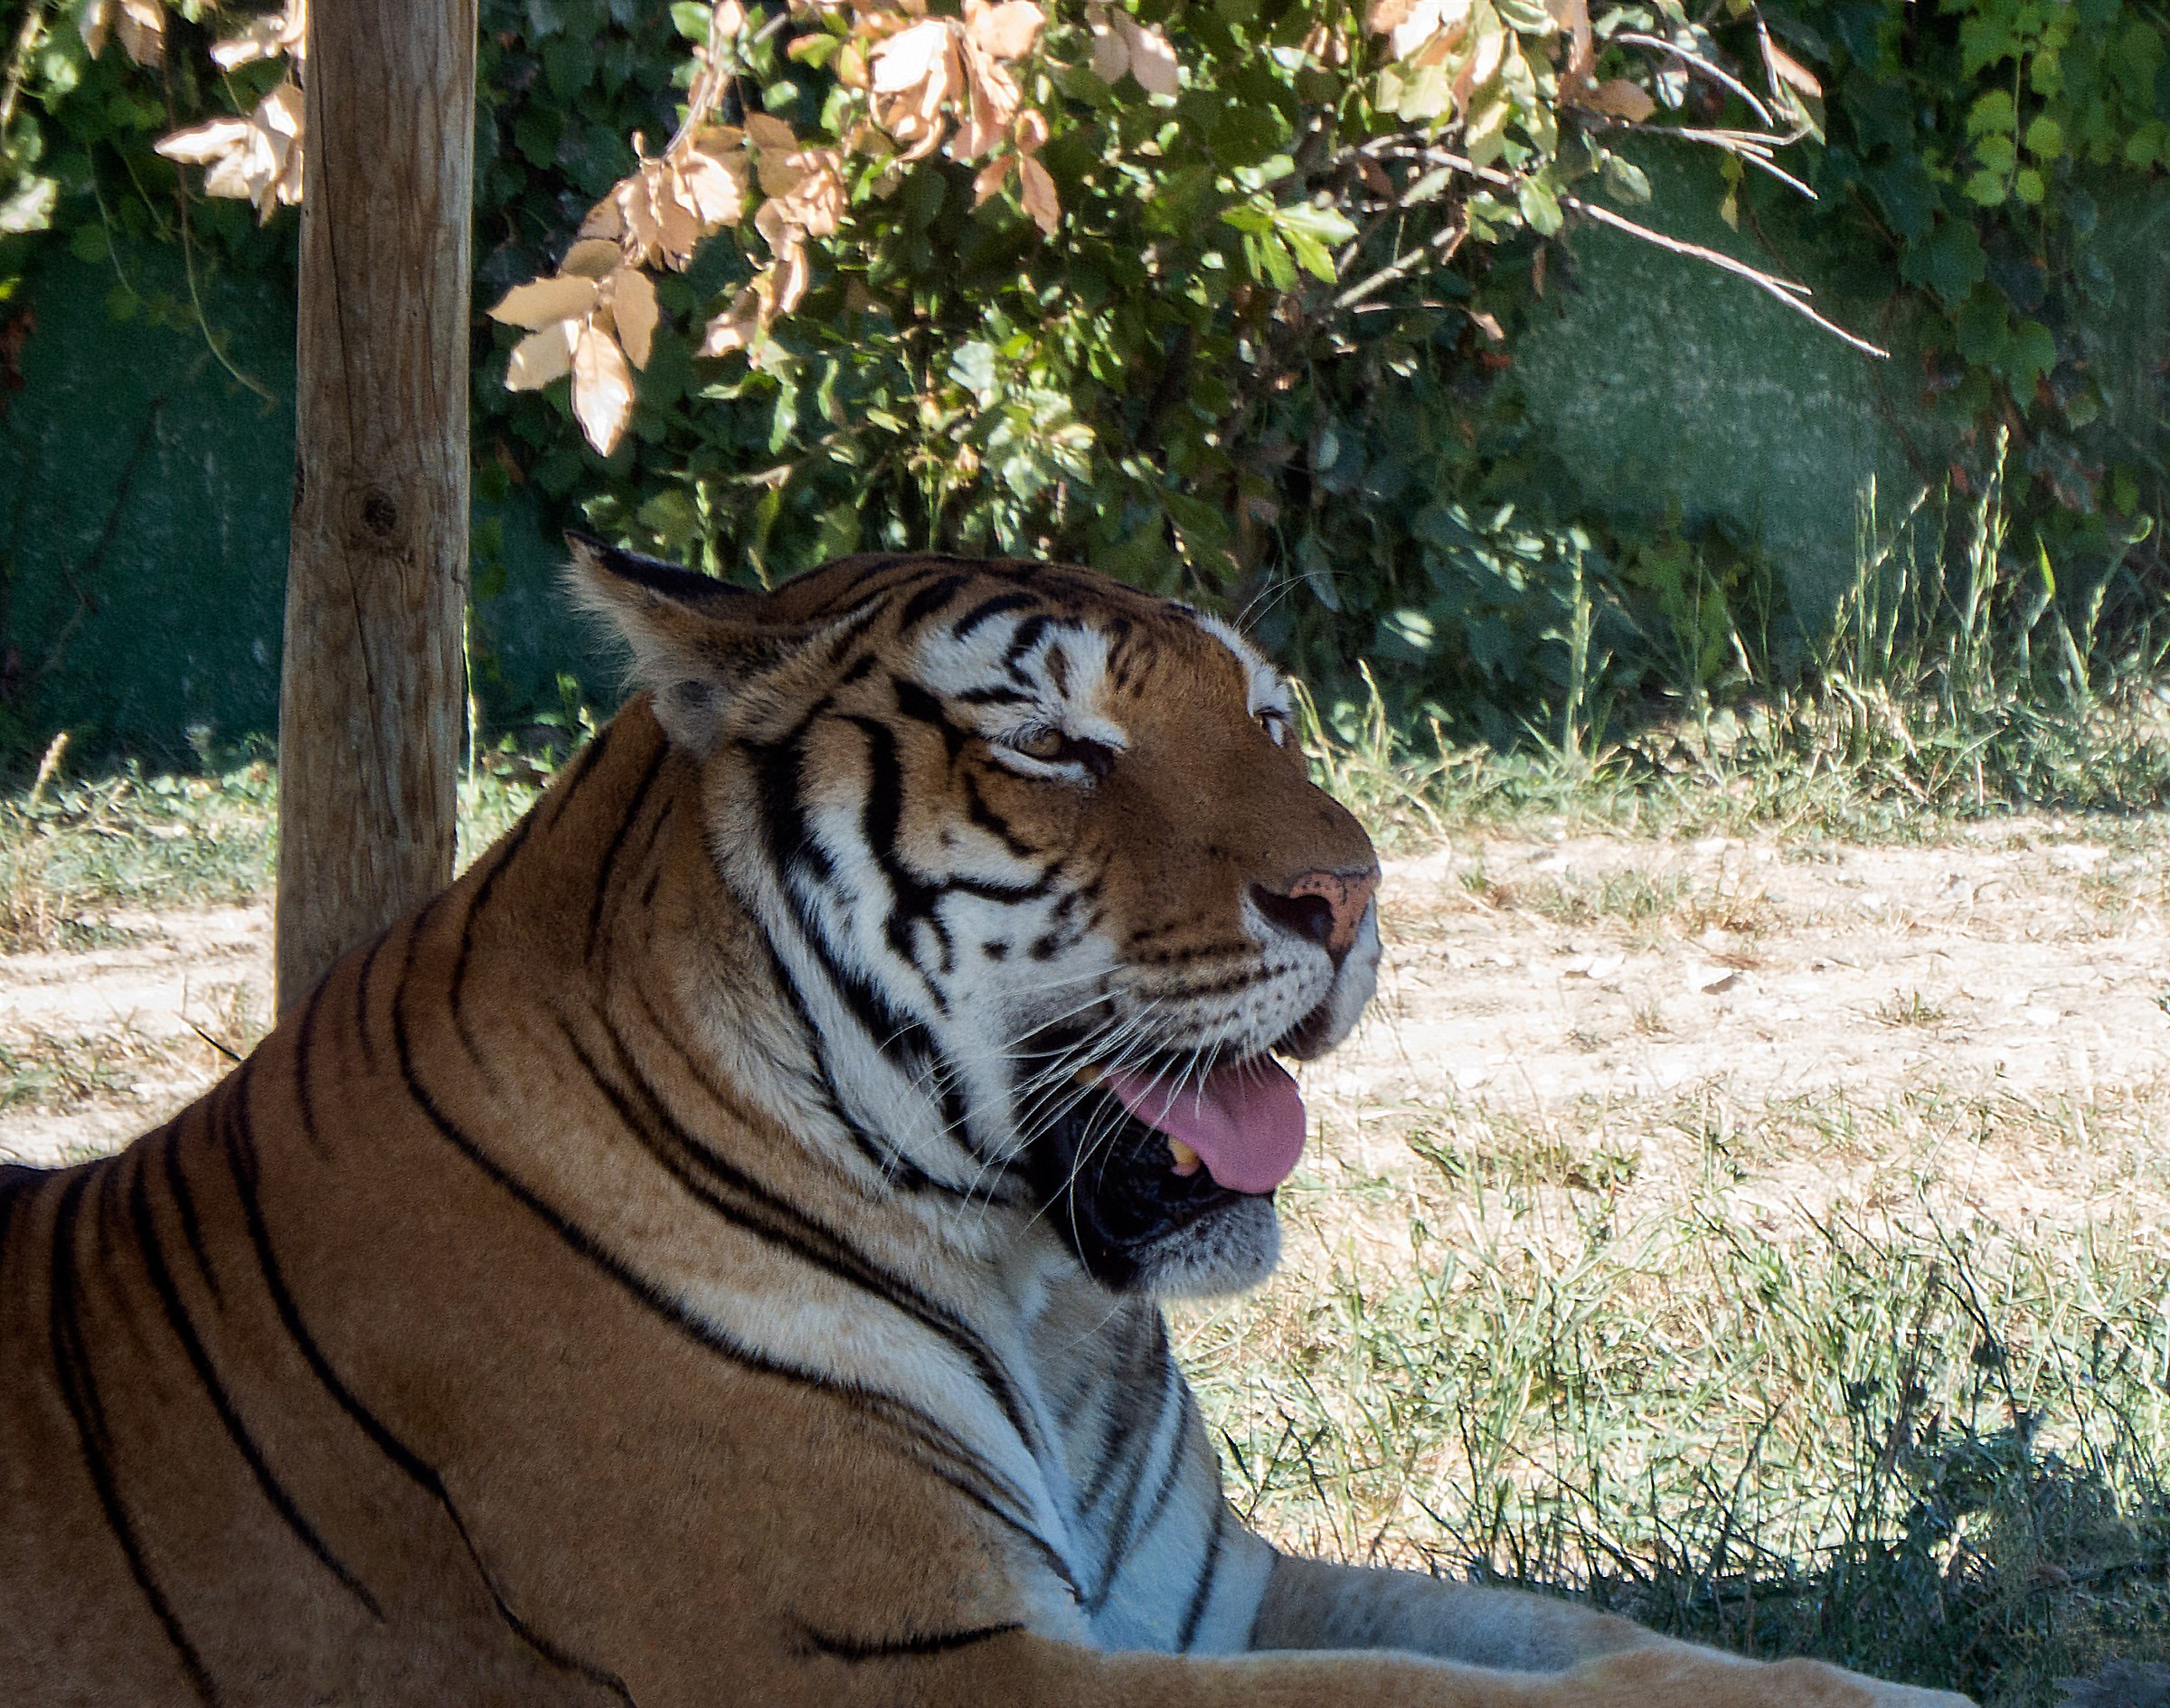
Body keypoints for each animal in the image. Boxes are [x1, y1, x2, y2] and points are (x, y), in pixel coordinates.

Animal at [0, 539, 1970, 1708]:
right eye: (1051, 744)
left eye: (1270, 714)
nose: (1353, 890)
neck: (1043, 1291)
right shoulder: (905, 1658)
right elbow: (1454, 1694)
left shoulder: (1215, 1593)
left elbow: (1574, 1631)